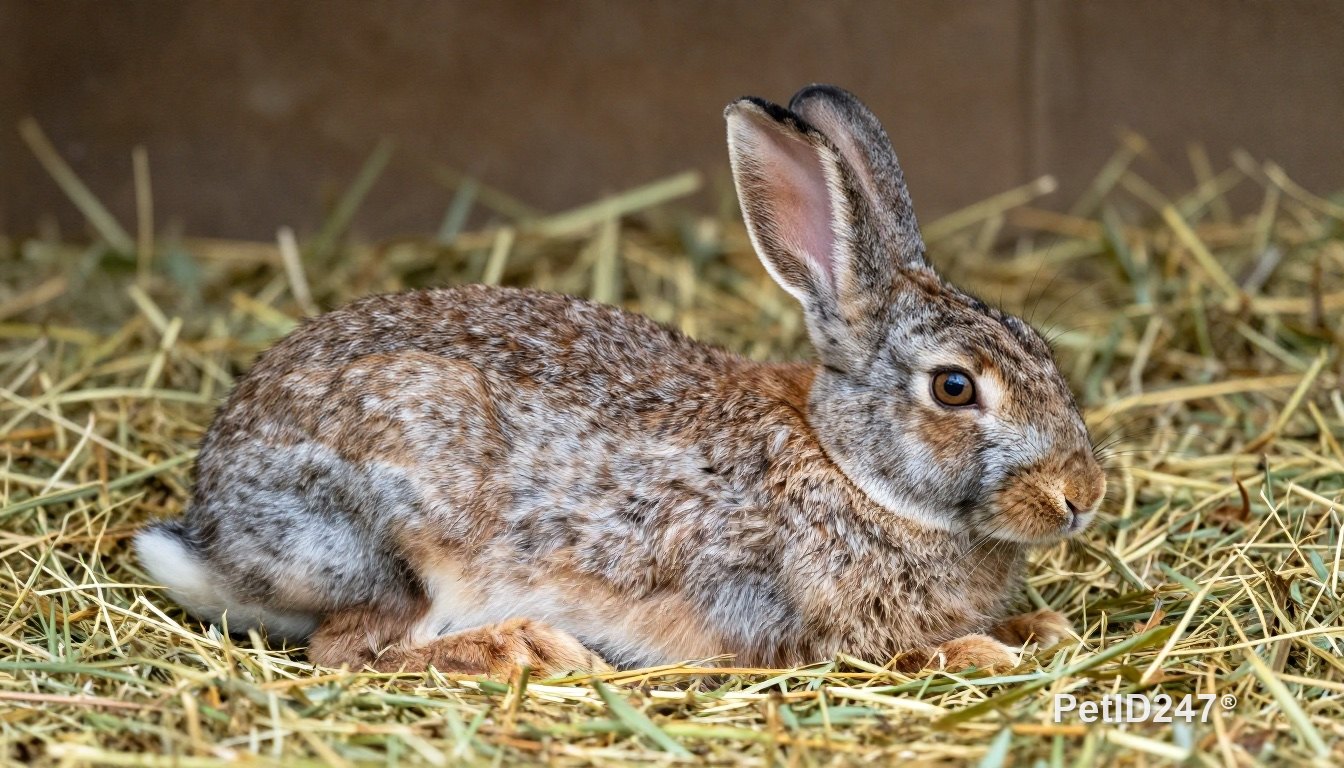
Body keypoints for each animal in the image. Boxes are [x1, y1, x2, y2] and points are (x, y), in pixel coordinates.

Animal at [135, 84, 1105, 678]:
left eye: (1041, 350)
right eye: (954, 389)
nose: (1082, 496)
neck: (847, 465)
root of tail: (211, 531)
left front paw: (1037, 629)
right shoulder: (790, 617)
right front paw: (981, 653)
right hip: (394, 518)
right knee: (351, 652)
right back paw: (524, 650)